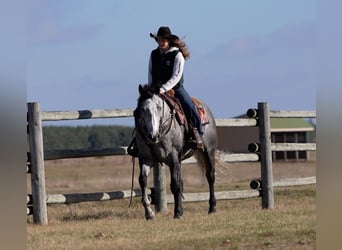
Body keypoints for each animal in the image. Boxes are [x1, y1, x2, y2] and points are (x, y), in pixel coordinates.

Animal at [134, 84, 216, 219]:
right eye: (142, 109)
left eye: (159, 107)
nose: (152, 135)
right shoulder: (146, 159)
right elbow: (143, 181)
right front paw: (149, 213)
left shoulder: (173, 159)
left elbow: (175, 185)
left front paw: (177, 212)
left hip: (208, 151)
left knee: (210, 176)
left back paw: (212, 207)